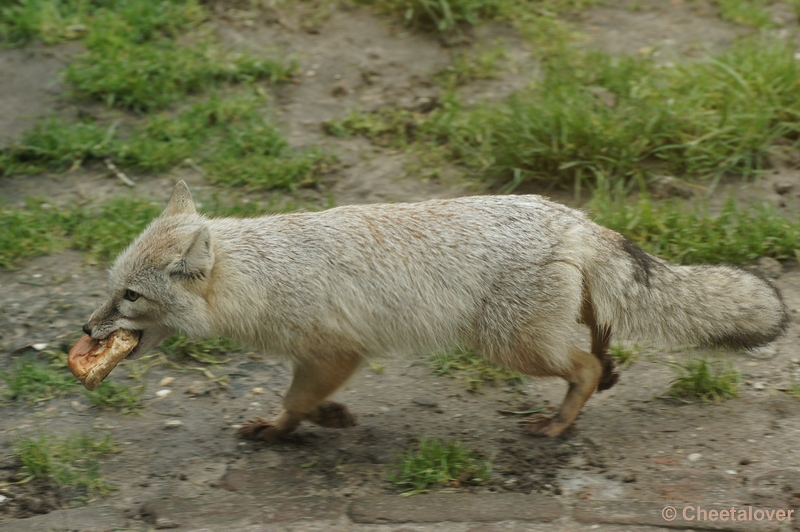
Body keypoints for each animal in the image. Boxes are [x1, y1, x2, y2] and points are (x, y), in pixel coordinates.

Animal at [83, 181, 788, 438]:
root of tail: (571, 216)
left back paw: (560, 422)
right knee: (600, 345)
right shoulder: (326, 355)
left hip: (512, 345)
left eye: (130, 297)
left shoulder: (334, 349)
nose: (86, 328)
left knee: (583, 366)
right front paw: (328, 417)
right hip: (539, 332)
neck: (263, 274)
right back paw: (604, 377)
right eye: (112, 287)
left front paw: (281, 428)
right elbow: (310, 397)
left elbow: (294, 400)